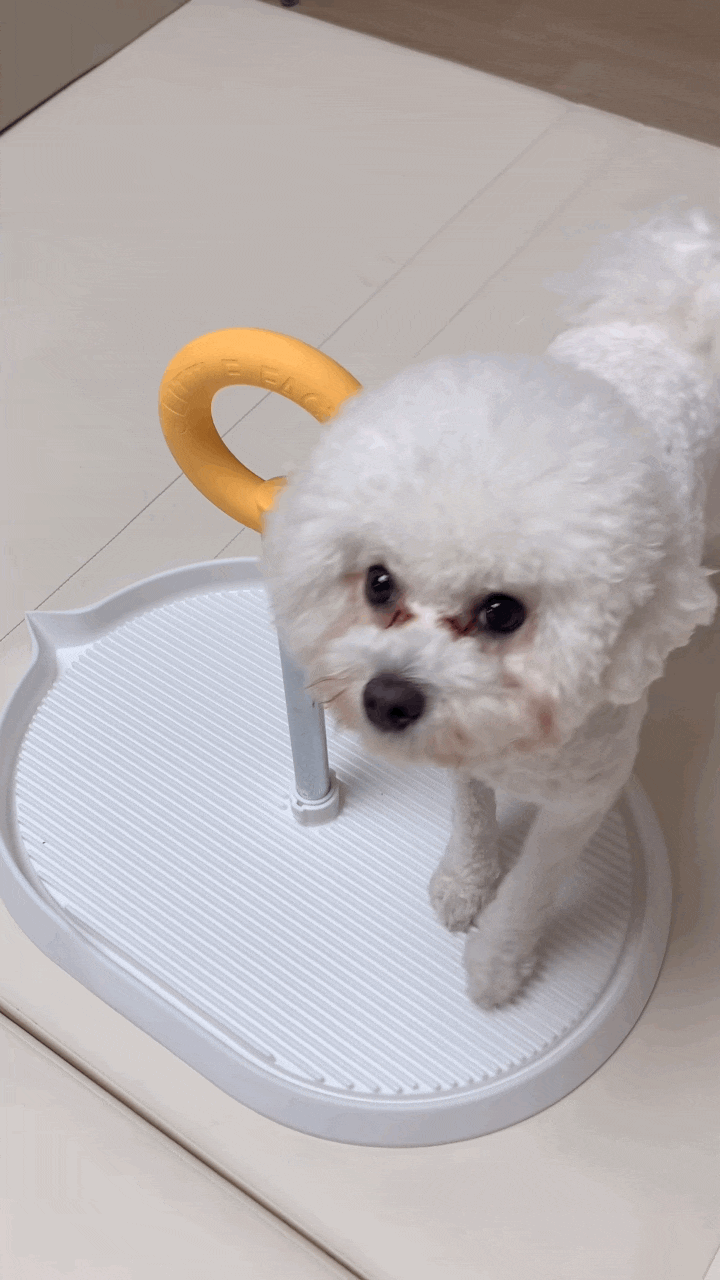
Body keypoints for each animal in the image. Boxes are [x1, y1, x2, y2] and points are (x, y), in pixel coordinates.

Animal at [263, 208, 720, 1009]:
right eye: (378, 584)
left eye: (503, 612)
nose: (386, 699)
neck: (516, 738)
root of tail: (668, 310)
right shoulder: (463, 758)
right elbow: (472, 818)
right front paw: (464, 882)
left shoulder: (583, 800)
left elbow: (535, 885)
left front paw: (498, 963)